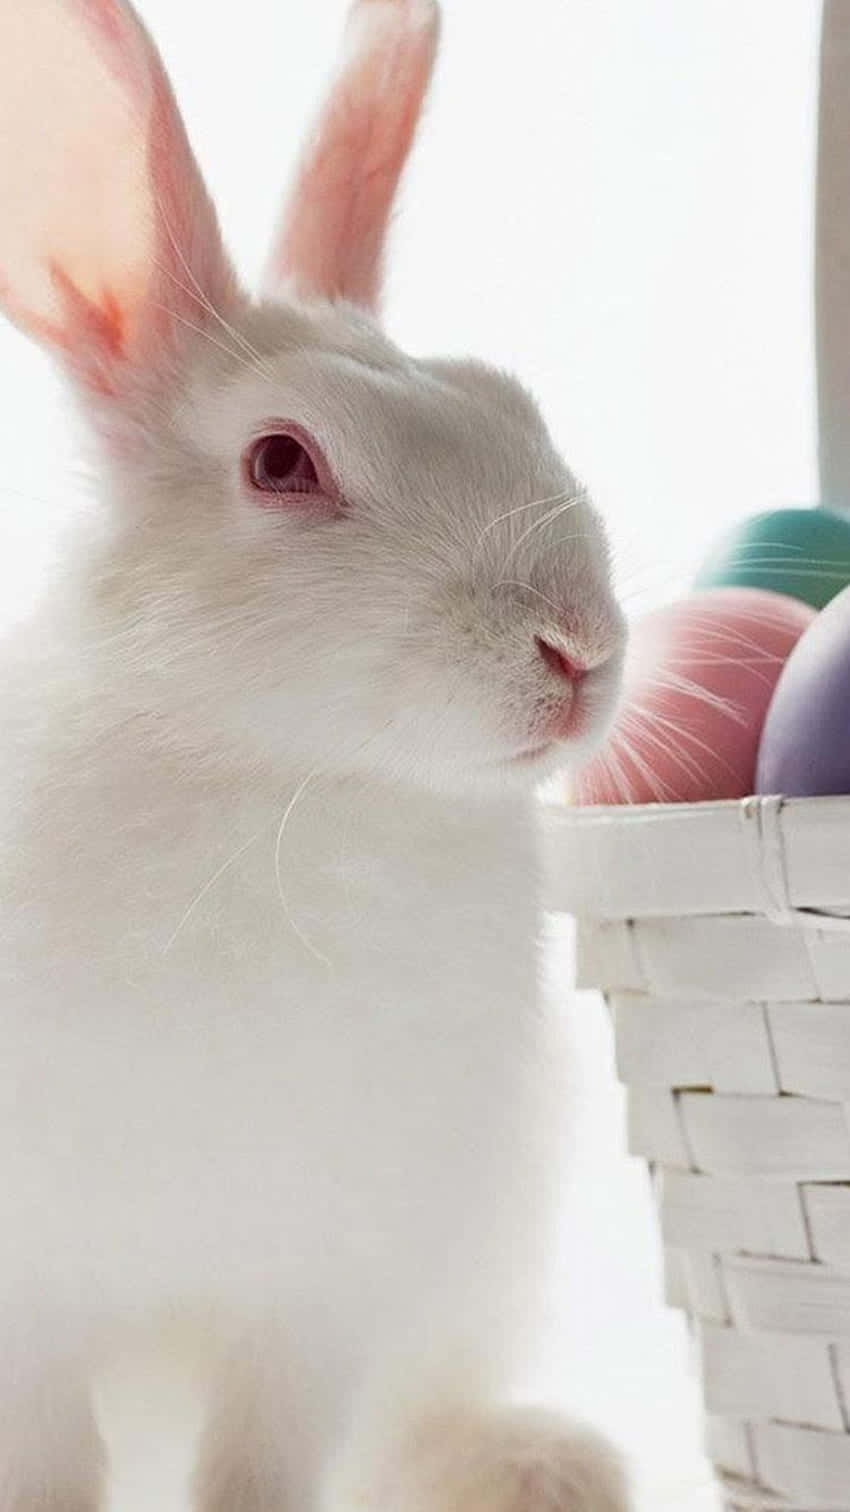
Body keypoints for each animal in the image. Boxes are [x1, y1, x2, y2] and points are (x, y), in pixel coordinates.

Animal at [0, 2, 623, 1512]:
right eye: (282, 462)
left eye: (512, 400)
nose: (577, 647)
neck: (297, 790)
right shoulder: (38, 1304)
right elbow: (52, 1461)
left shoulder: (320, 1303)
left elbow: (266, 1463)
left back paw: (541, 1465)